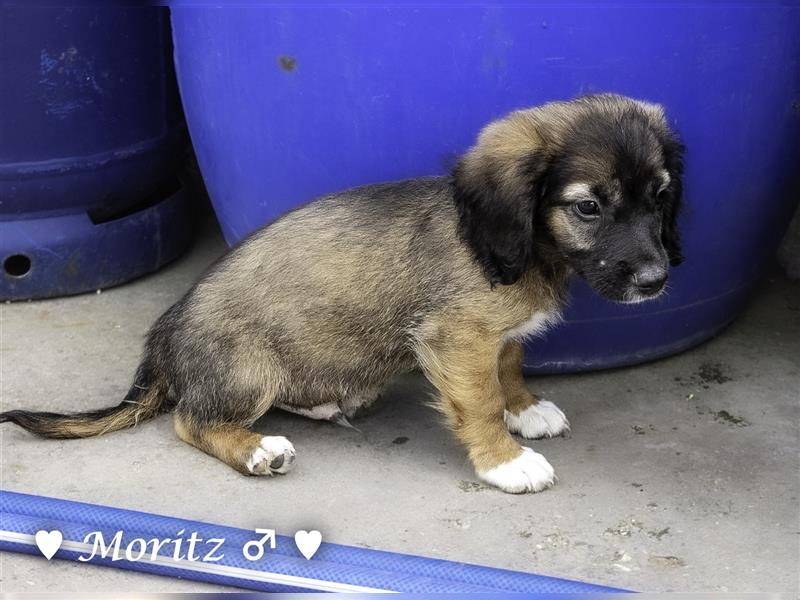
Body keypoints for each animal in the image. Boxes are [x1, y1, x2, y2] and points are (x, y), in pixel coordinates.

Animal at [3, 94, 684, 494]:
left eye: (660, 196)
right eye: (588, 207)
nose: (657, 281)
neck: (524, 251)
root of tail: (164, 335)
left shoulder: (494, 335)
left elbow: (509, 367)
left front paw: (525, 408)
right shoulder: (458, 337)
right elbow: (480, 399)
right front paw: (503, 459)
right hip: (248, 371)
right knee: (190, 421)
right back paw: (255, 450)